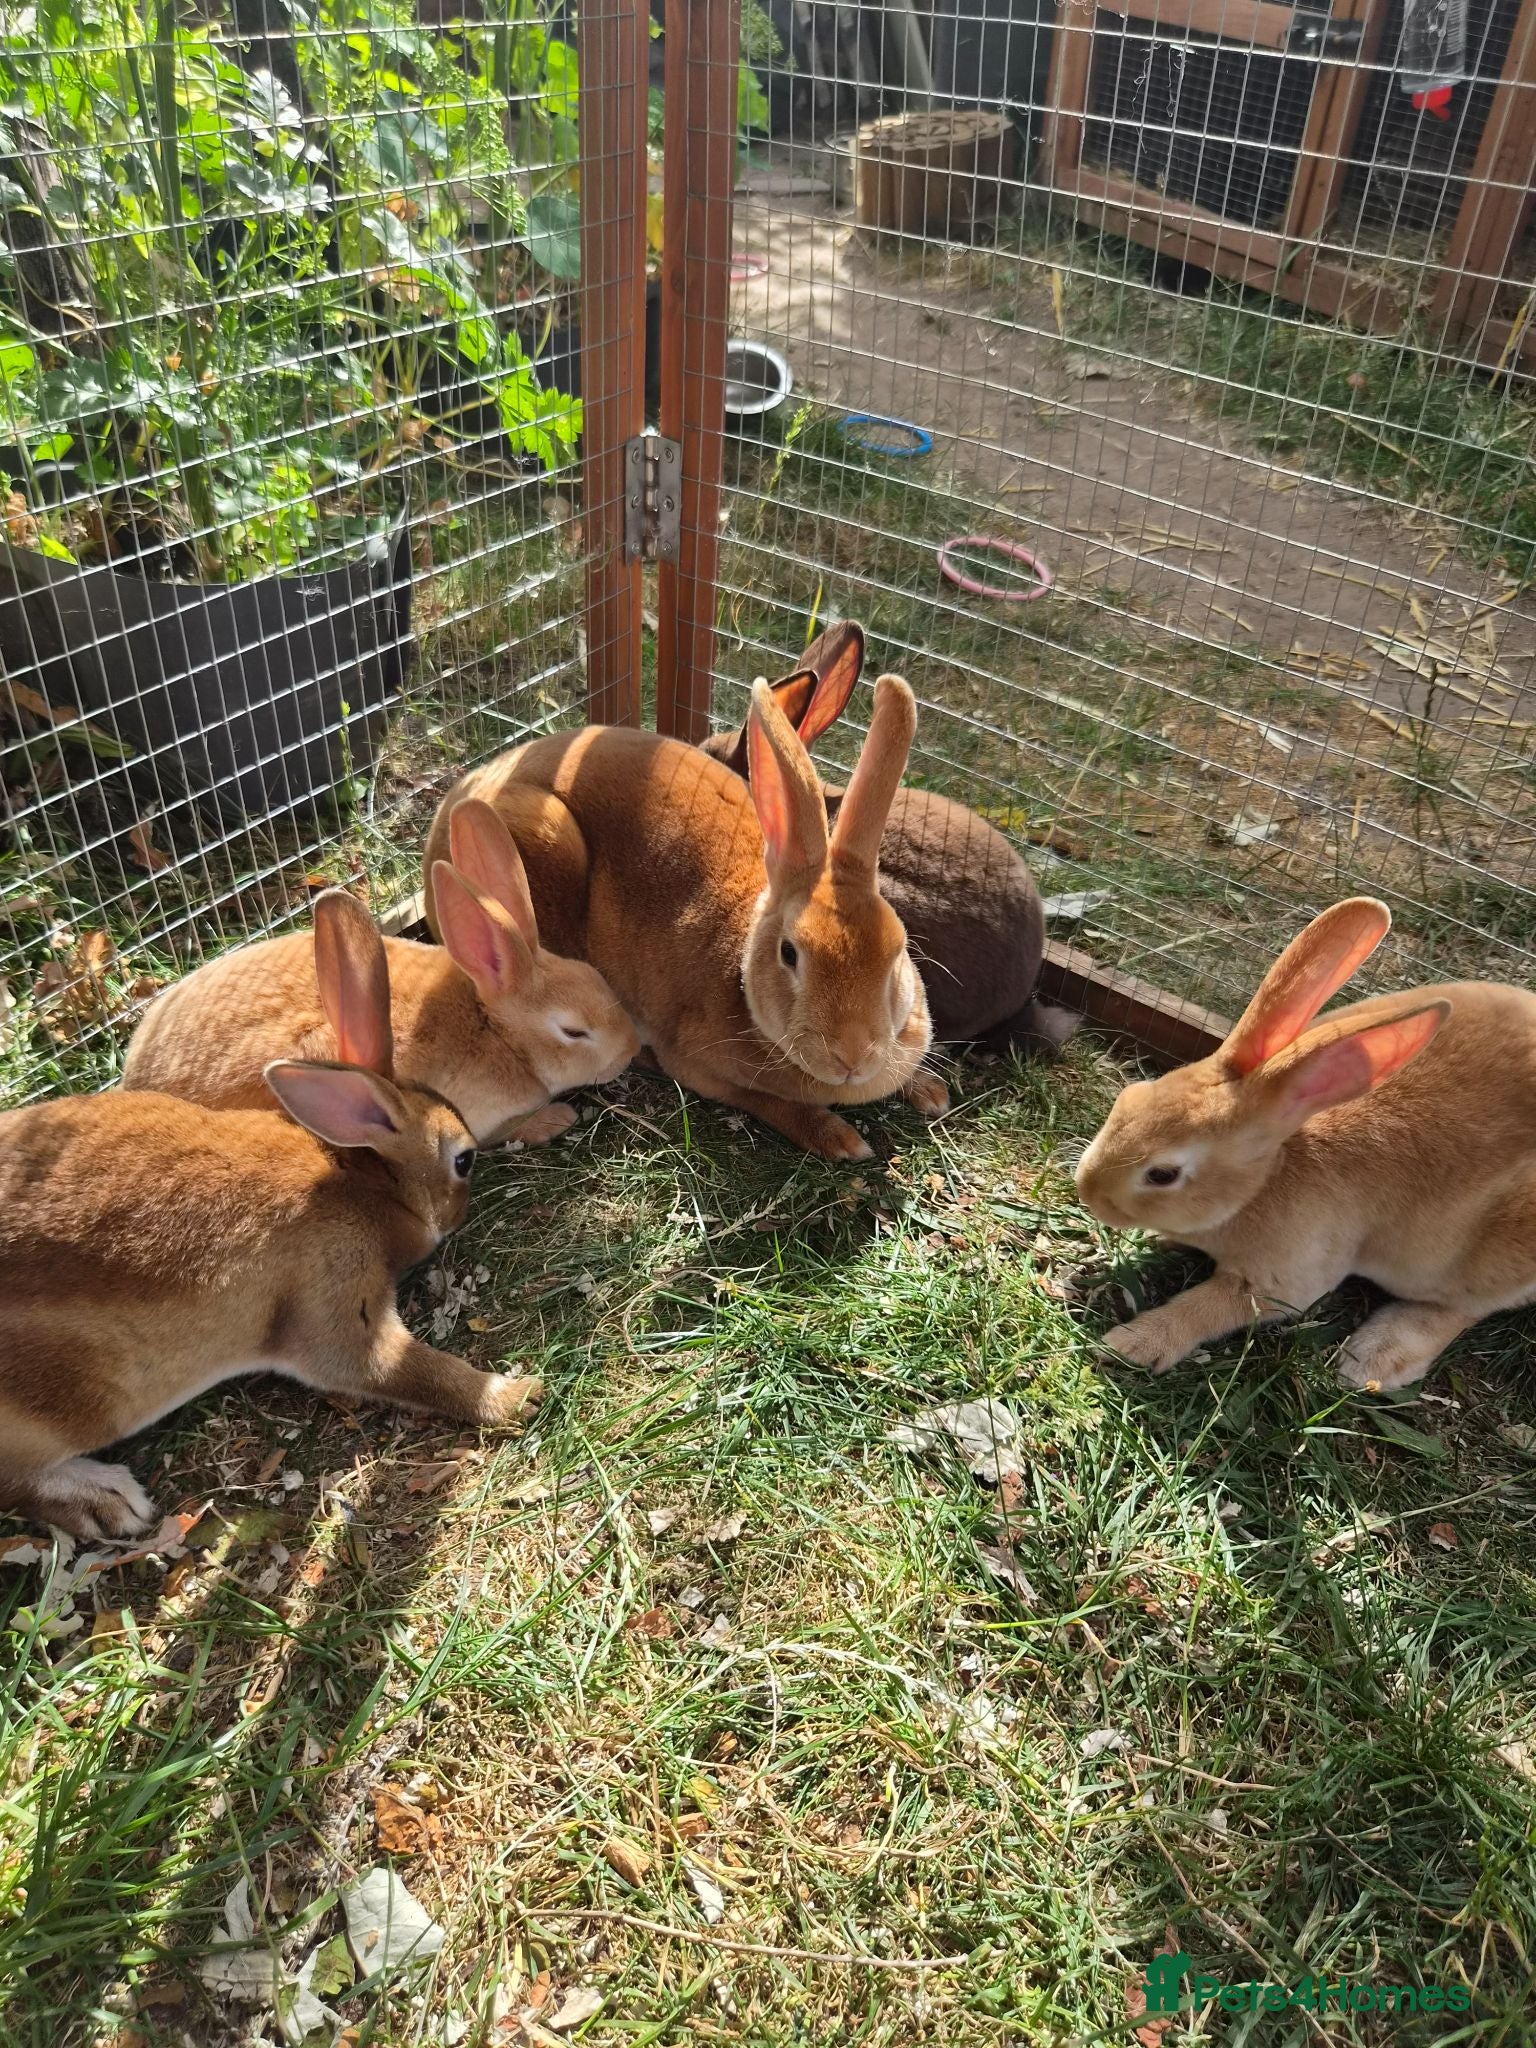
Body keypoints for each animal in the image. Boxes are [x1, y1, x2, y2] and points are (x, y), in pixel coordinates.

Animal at [0, 1059, 543, 1542]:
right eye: (463, 1160)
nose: (459, 1214)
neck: (366, 1186)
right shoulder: (334, 1300)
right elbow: (406, 1370)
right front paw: (518, 1396)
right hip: (73, 1405)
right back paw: (108, 1502)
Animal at [122, 798, 639, 1146]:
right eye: (573, 1032)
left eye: (595, 976)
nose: (631, 1050)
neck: (495, 1029)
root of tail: (133, 1081)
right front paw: (553, 1120)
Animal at [421, 671, 948, 1161]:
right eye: (790, 954)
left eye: (897, 950)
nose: (852, 1057)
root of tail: (454, 804)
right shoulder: (702, 1068)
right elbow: (770, 1102)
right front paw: (840, 1139)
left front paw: (929, 1091)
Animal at [1072, 894, 1536, 1393]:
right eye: (1129, 1096)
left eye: (1162, 1174)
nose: (1087, 1190)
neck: (1262, 1183)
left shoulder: (1283, 1283)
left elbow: (1209, 1308)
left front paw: (1131, 1345)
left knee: (1460, 1308)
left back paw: (1376, 1357)